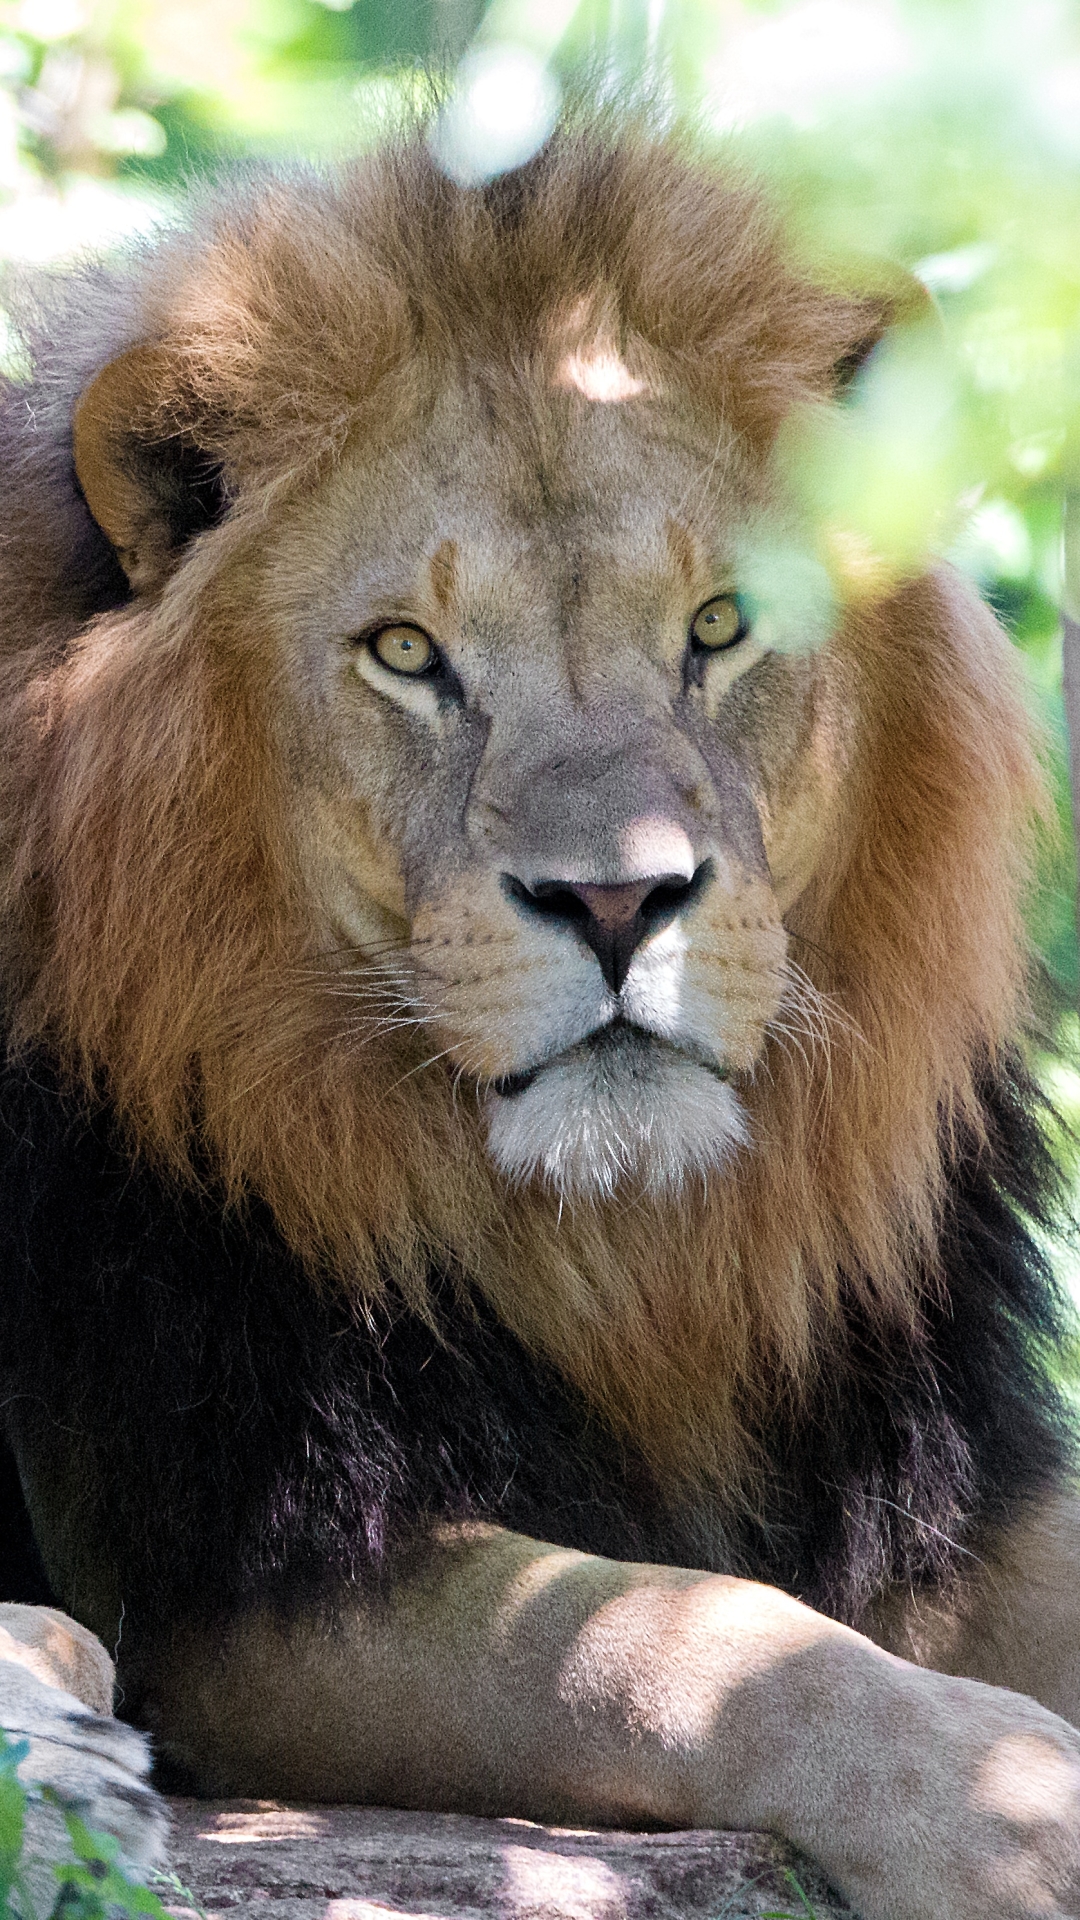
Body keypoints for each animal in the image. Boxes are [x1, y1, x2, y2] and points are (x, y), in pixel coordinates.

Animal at [0, 120, 1076, 1920]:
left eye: (719, 627)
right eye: (406, 653)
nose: (620, 902)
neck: (623, 1256)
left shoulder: (932, 1477)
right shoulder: (253, 1561)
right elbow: (674, 1627)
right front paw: (1012, 1814)